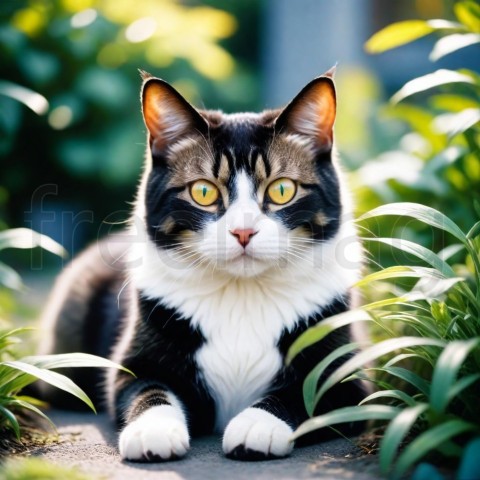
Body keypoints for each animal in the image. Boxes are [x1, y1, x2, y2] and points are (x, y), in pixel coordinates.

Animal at [38, 67, 368, 462]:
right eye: (204, 192)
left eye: (282, 190)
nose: (243, 231)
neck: (242, 295)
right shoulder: (132, 365)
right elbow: (150, 390)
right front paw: (153, 430)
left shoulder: (349, 381)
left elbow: (302, 395)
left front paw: (257, 424)